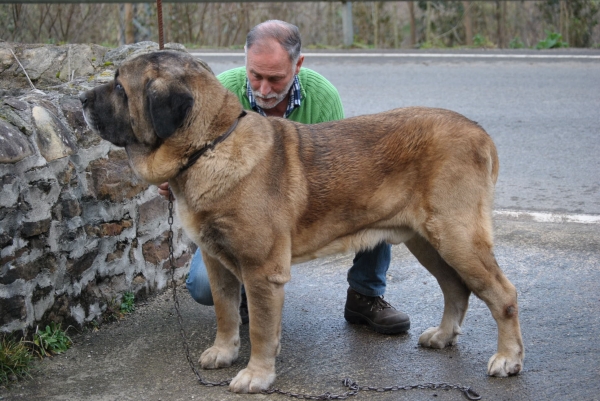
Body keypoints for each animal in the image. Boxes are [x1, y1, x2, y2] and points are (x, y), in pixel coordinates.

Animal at [81, 51, 524, 392]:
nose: (82, 98)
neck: (210, 145)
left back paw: (507, 358)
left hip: (456, 236)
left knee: (502, 294)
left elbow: (261, 329)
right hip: (426, 241)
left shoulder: (262, 271)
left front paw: (256, 375)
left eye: (119, 87)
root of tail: (479, 132)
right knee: (456, 288)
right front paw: (224, 352)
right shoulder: (216, 260)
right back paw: (445, 335)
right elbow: (226, 313)